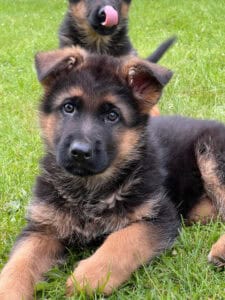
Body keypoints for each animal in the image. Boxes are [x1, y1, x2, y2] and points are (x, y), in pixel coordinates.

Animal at [0, 47, 223, 298]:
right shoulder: (41, 228)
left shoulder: (159, 216)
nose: (80, 152)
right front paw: (8, 290)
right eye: (68, 107)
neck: (88, 190)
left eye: (112, 115)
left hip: (211, 153)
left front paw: (89, 277)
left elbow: (124, 239)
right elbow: (19, 262)